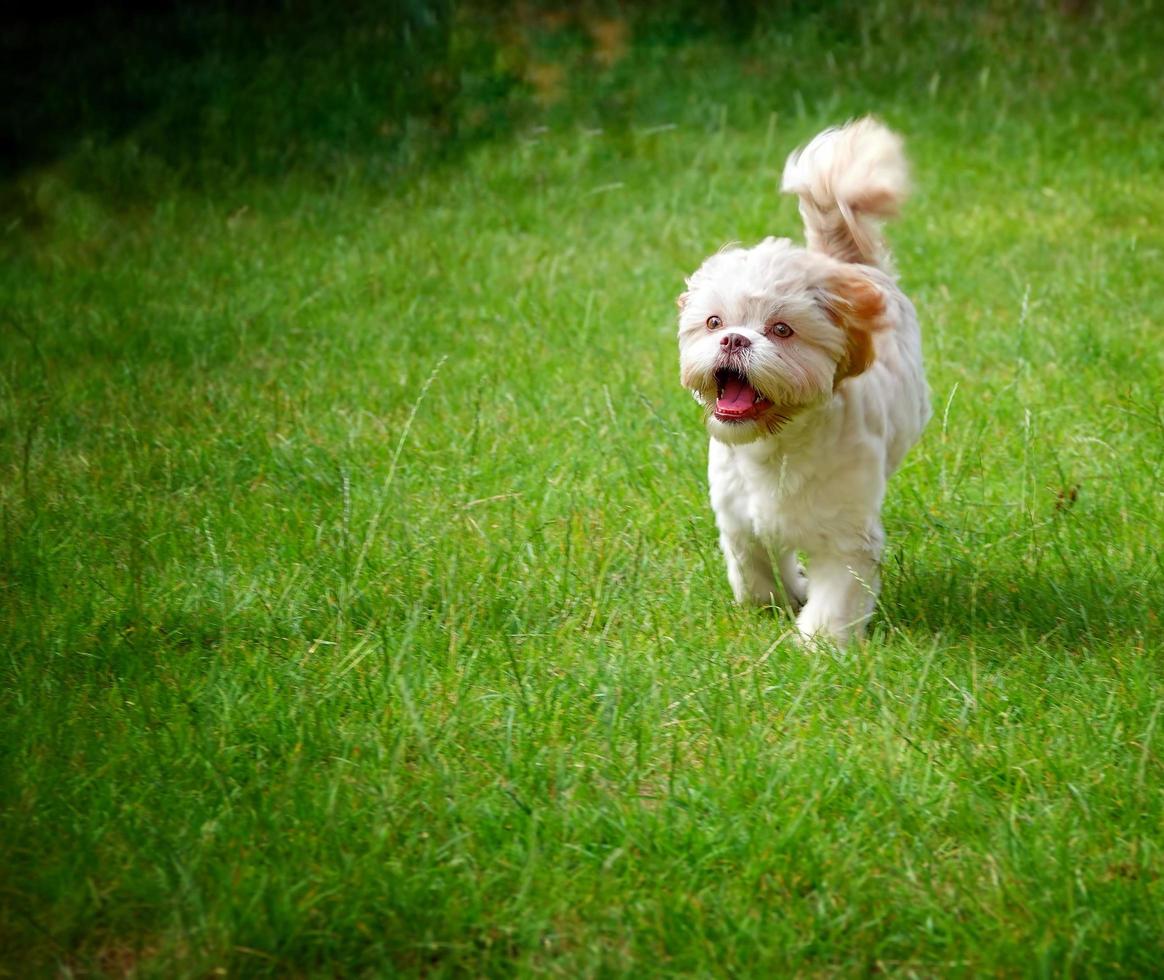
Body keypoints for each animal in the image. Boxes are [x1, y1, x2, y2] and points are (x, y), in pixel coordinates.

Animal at [679, 118, 931, 642]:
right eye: (714, 322)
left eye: (781, 330)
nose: (734, 339)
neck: (774, 447)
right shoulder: (740, 520)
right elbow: (753, 573)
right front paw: (780, 596)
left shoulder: (847, 537)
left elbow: (834, 600)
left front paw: (817, 646)